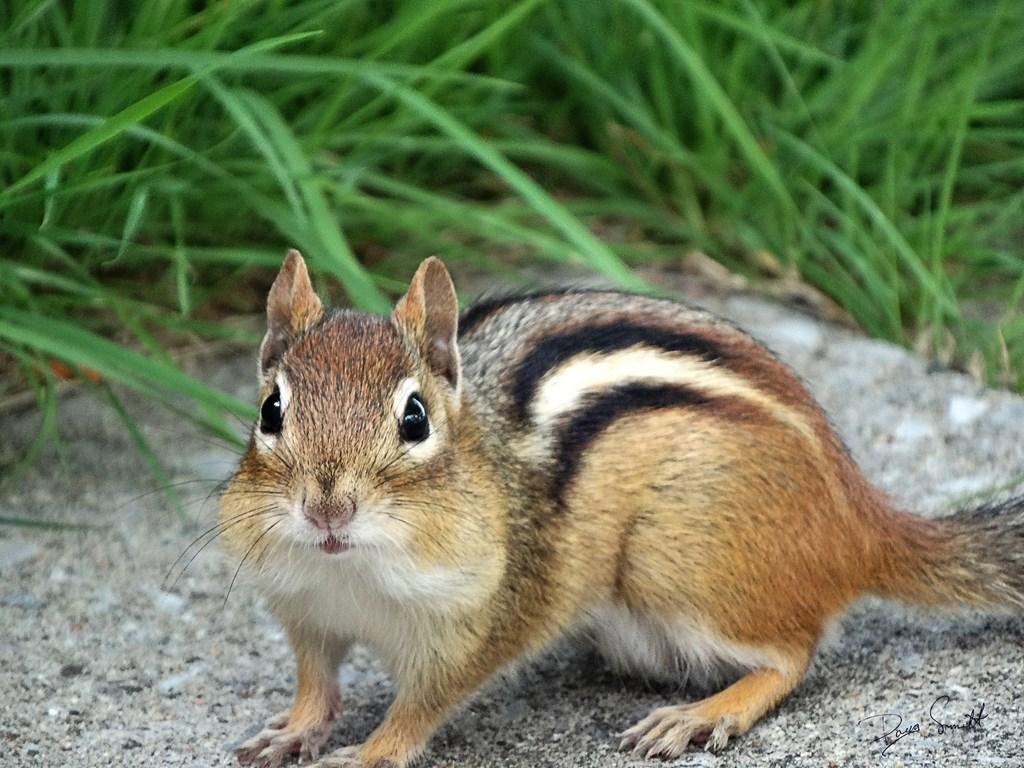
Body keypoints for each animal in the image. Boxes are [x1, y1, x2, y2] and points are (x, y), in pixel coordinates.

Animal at [219, 250, 1024, 768]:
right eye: (270, 410)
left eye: (414, 419)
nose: (327, 508)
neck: (351, 573)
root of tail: (859, 517)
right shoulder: (306, 610)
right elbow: (315, 683)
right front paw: (291, 733)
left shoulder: (477, 622)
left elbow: (419, 707)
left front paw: (365, 752)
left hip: (672, 562)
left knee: (794, 652)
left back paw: (704, 713)